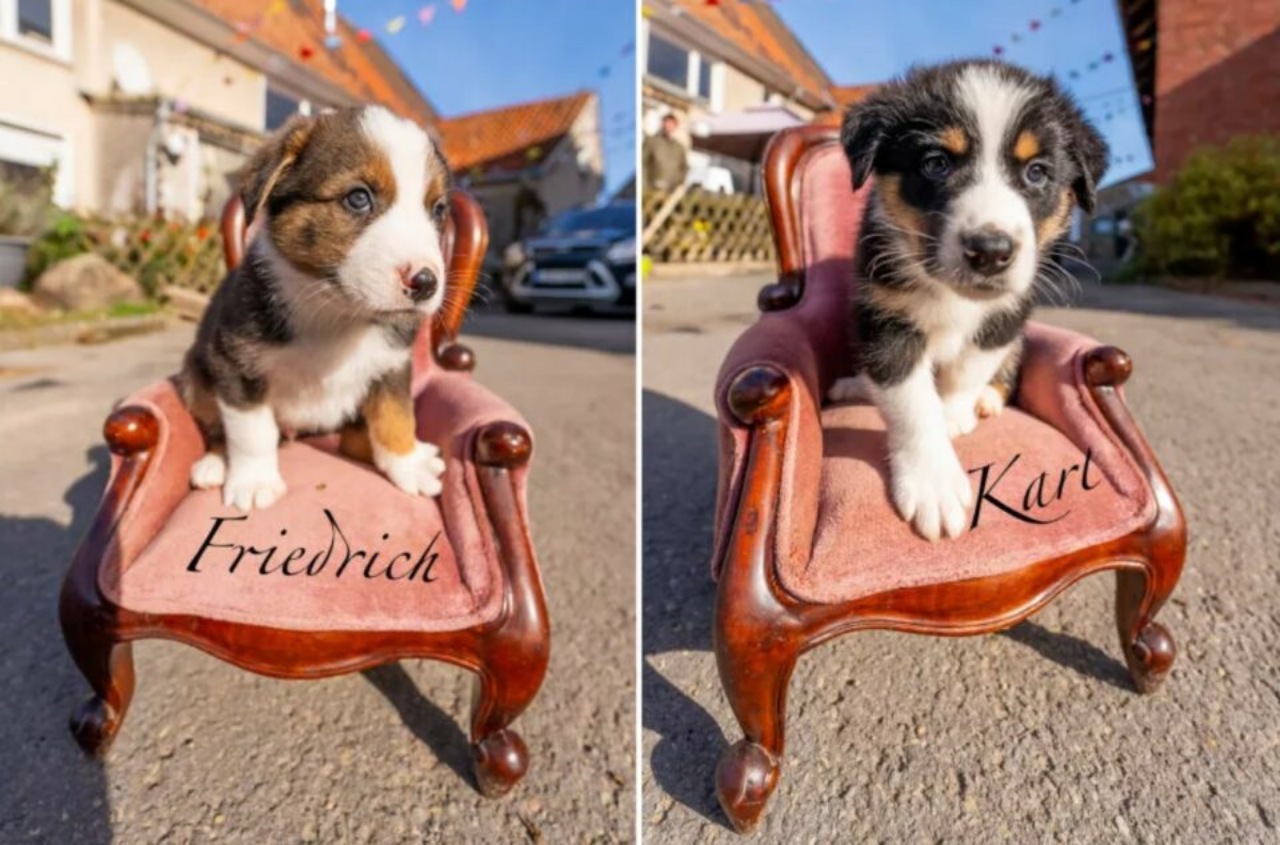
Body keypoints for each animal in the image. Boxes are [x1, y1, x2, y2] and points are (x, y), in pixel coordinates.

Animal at [183, 104, 453, 509]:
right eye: (358, 198)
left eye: (437, 210)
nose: (425, 282)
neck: (335, 311)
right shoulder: (234, 364)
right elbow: (251, 431)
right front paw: (253, 481)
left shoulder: (392, 365)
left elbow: (396, 416)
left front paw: (407, 463)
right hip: (194, 377)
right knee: (217, 428)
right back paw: (214, 464)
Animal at [829, 59, 1111, 537]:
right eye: (936, 164)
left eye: (1037, 172)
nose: (990, 251)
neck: (952, 296)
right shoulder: (886, 320)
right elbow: (911, 403)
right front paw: (934, 484)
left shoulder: (1006, 317)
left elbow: (967, 369)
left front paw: (954, 415)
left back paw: (987, 400)